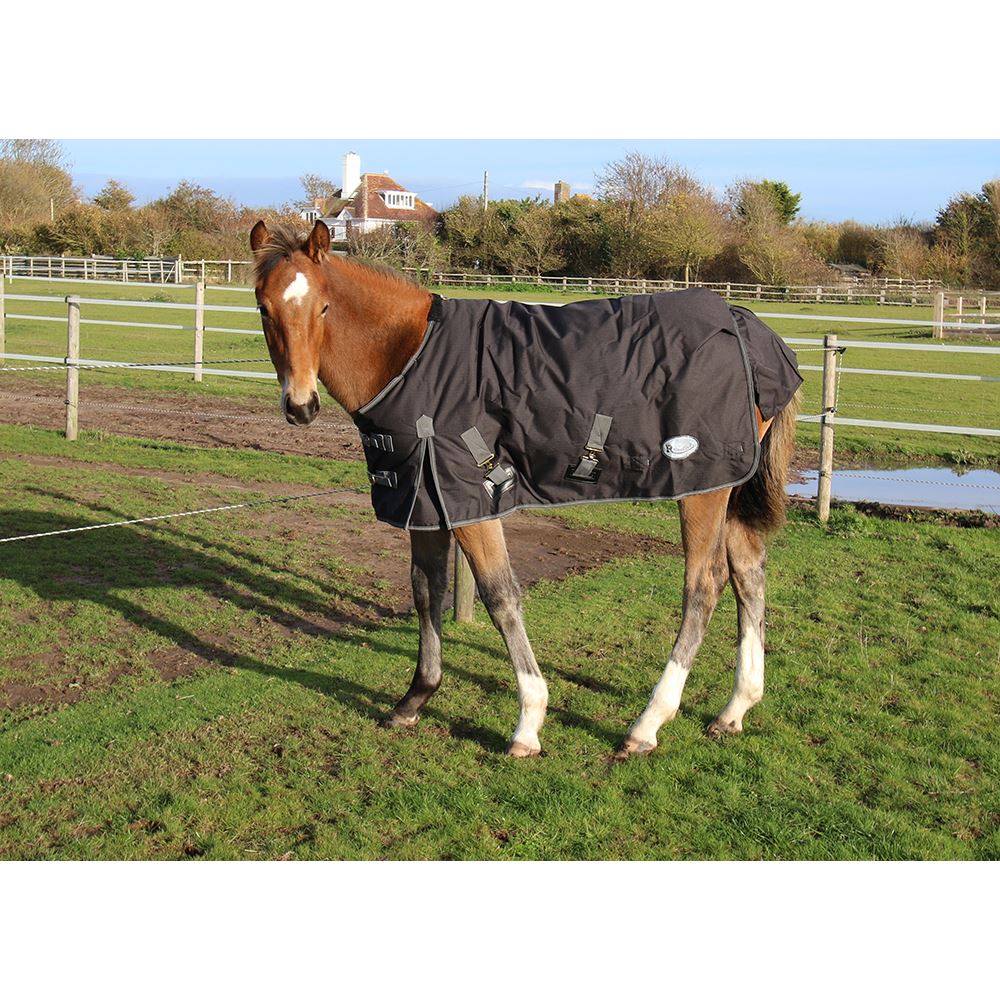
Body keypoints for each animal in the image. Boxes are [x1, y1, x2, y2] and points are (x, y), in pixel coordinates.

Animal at [249, 219, 800, 760]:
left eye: (323, 306)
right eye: (264, 307)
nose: (301, 406)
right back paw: (734, 709)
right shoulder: (425, 499)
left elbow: (499, 596)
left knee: (704, 586)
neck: (408, 356)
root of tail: (745, 324)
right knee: (749, 574)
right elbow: (426, 590)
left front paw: (528, 723)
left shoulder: (471, 499)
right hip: (730, 486)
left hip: (702, 489)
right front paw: (414, 700)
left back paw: (647, 724)